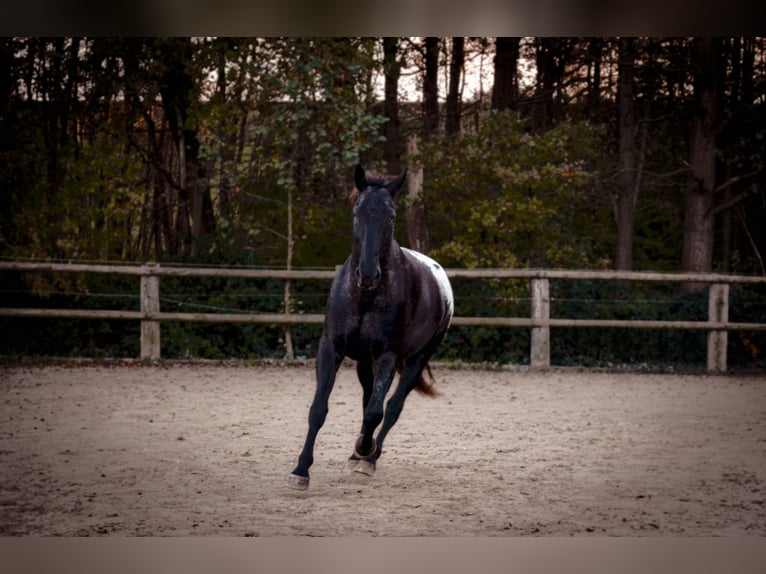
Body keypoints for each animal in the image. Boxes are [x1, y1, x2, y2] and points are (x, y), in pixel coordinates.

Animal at [290, 164, 456, 492]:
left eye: (391, 215)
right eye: (357, 212)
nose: (367, 274)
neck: (365, 296)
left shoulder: (388, 357)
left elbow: (376, 412)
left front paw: (364, 451)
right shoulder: (331, 348)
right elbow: (318, 409)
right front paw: (301, 470)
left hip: (417, 359)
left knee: (391, 408)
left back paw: (369, 456)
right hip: (364, 363)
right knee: (369, 399)